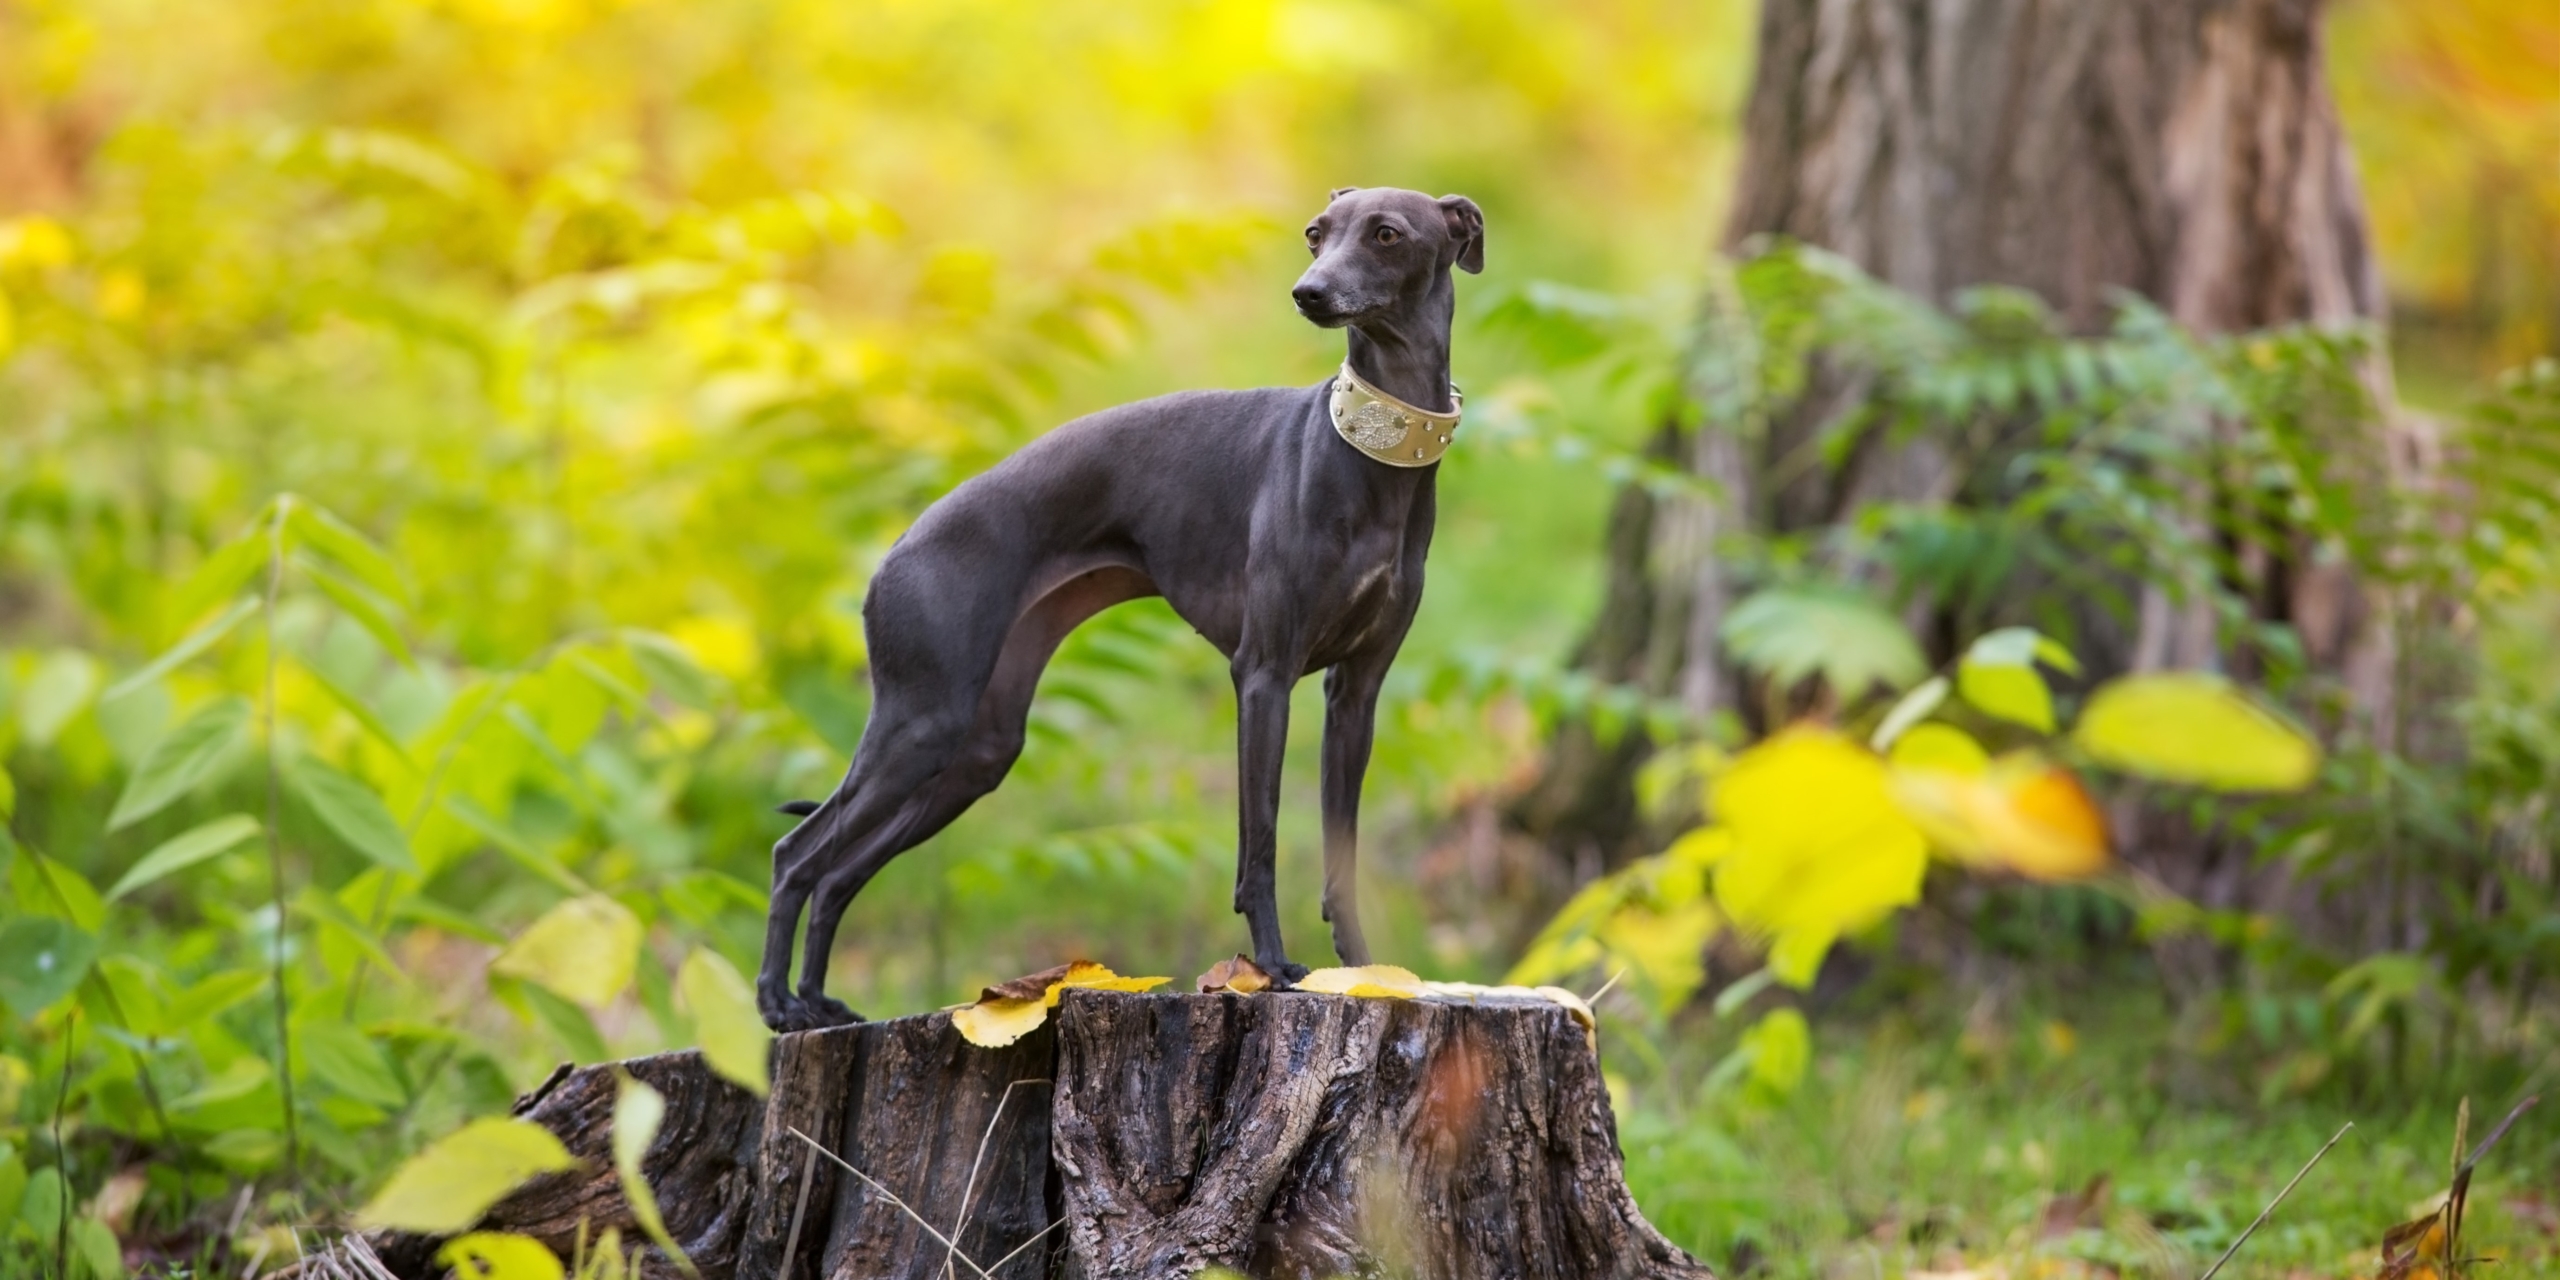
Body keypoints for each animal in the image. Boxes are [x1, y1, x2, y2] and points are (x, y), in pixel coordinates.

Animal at [752, 186, 1484, 1029]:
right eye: (1315, 234)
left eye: (1386, 234)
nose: (1309, 293)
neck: (1372, 453)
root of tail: (893, 553)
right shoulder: (1263, 674)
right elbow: (1260, 843)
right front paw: (1271, 968)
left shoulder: (1354, 693)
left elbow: (1343, 859)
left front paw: (1366, 972)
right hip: (921, 722)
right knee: (796, 853)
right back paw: (777, 1002)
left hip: (975, 750)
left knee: (839, 873)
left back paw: (817, 1001)